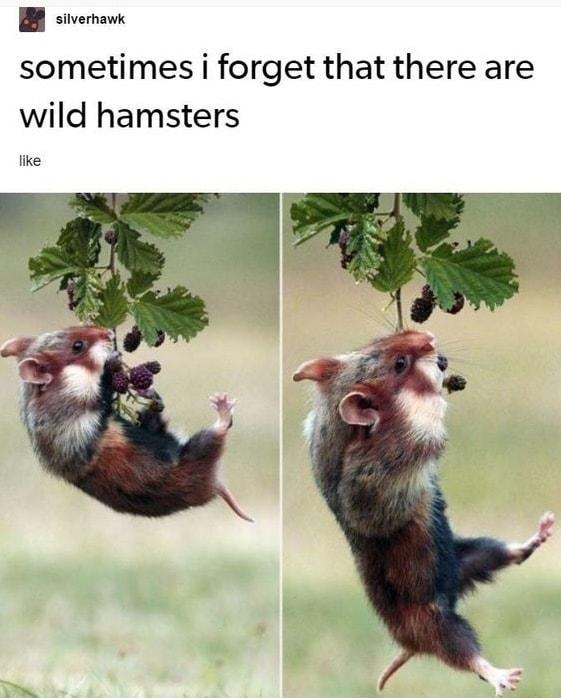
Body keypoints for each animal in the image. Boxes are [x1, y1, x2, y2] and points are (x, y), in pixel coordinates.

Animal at [1, 326, 252, 522]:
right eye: (78, 346)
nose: (107, 332)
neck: (57, 390)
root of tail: (215, 485)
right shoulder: (81, 409)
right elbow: (104, 387)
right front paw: (113, 360)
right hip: (198, 449)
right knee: (219, 432)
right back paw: (222, 405)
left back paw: (150, 398)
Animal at [294, 329, 553, 696]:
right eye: (400, 363)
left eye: (378, 341)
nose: (428, 336)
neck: (342, 429)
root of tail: (409, 645)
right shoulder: (380, 468)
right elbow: (426, 424)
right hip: (434, 623)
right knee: (464, 654)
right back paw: (504, 677)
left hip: (465, 555)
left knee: (505, 554)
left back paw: (541, 532)